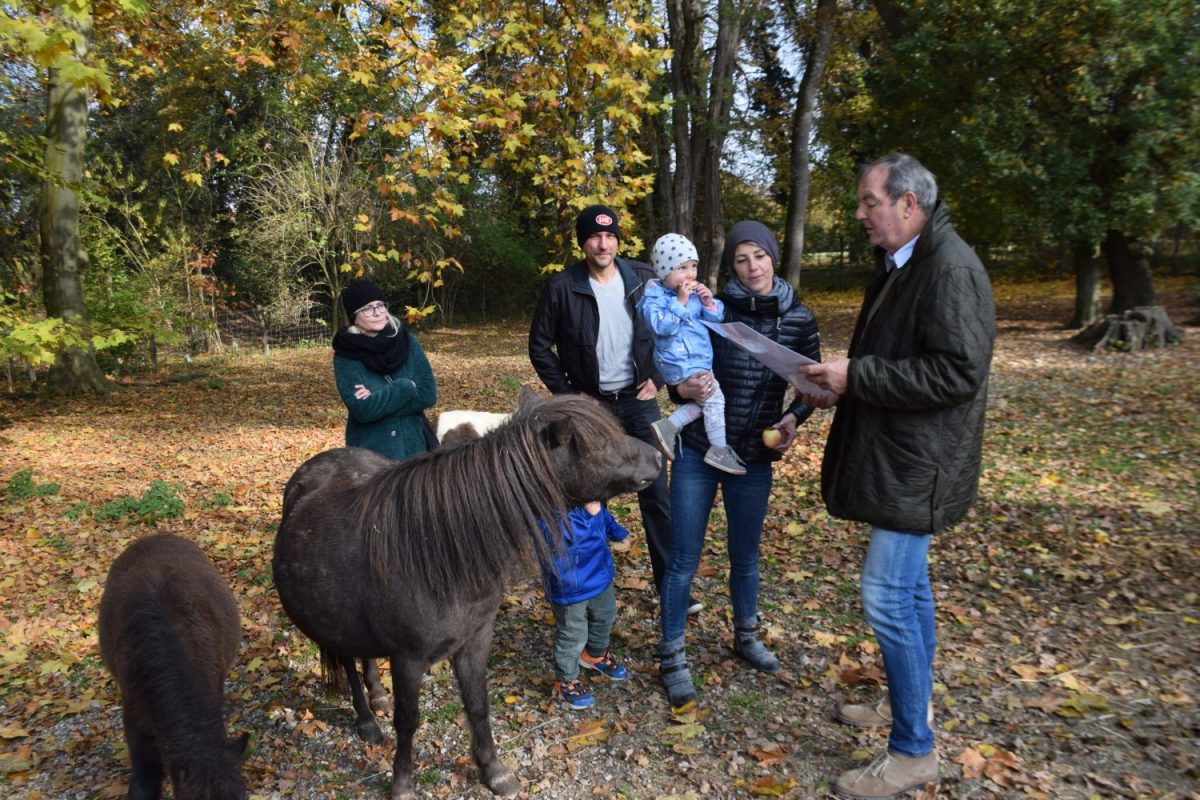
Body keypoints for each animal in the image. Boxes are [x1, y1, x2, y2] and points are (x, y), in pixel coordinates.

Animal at [273, 386, 662, 796]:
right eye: (600, 443)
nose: (657, 457)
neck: (439, 552)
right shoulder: (408, 658)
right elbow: (408, 720)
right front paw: (402, 783)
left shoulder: (475, 640)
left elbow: (477, 705)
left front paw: (494, 772)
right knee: (348, 663)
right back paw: (367, 720)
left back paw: (377, 696)